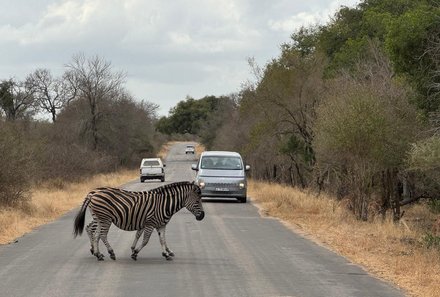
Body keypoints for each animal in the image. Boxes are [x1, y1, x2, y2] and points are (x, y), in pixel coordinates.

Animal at [73, 180, 204, 260]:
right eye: (198, 201)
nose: (202, 216)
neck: (164, 204)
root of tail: (92, 194)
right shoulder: (150, 223)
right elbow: (145, 240)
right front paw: (135, 253)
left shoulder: (161, 225)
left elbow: (162, 239)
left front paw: (167, 254)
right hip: (105, 218)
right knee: (101, 234)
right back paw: (110, 253)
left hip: (100, 218)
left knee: (95, 233)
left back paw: (98, 254)